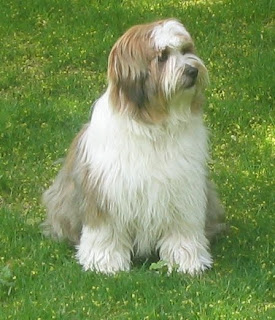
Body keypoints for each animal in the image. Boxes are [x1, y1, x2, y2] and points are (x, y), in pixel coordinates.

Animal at [42, 18, 225, 274]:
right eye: (162, 57)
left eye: (186, 50)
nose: (193, 70)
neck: (155, 125)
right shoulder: (107, 188)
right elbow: (105, 230)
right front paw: (104, 262)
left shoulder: (184, 188)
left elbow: (183, 226)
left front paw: (186, 260)